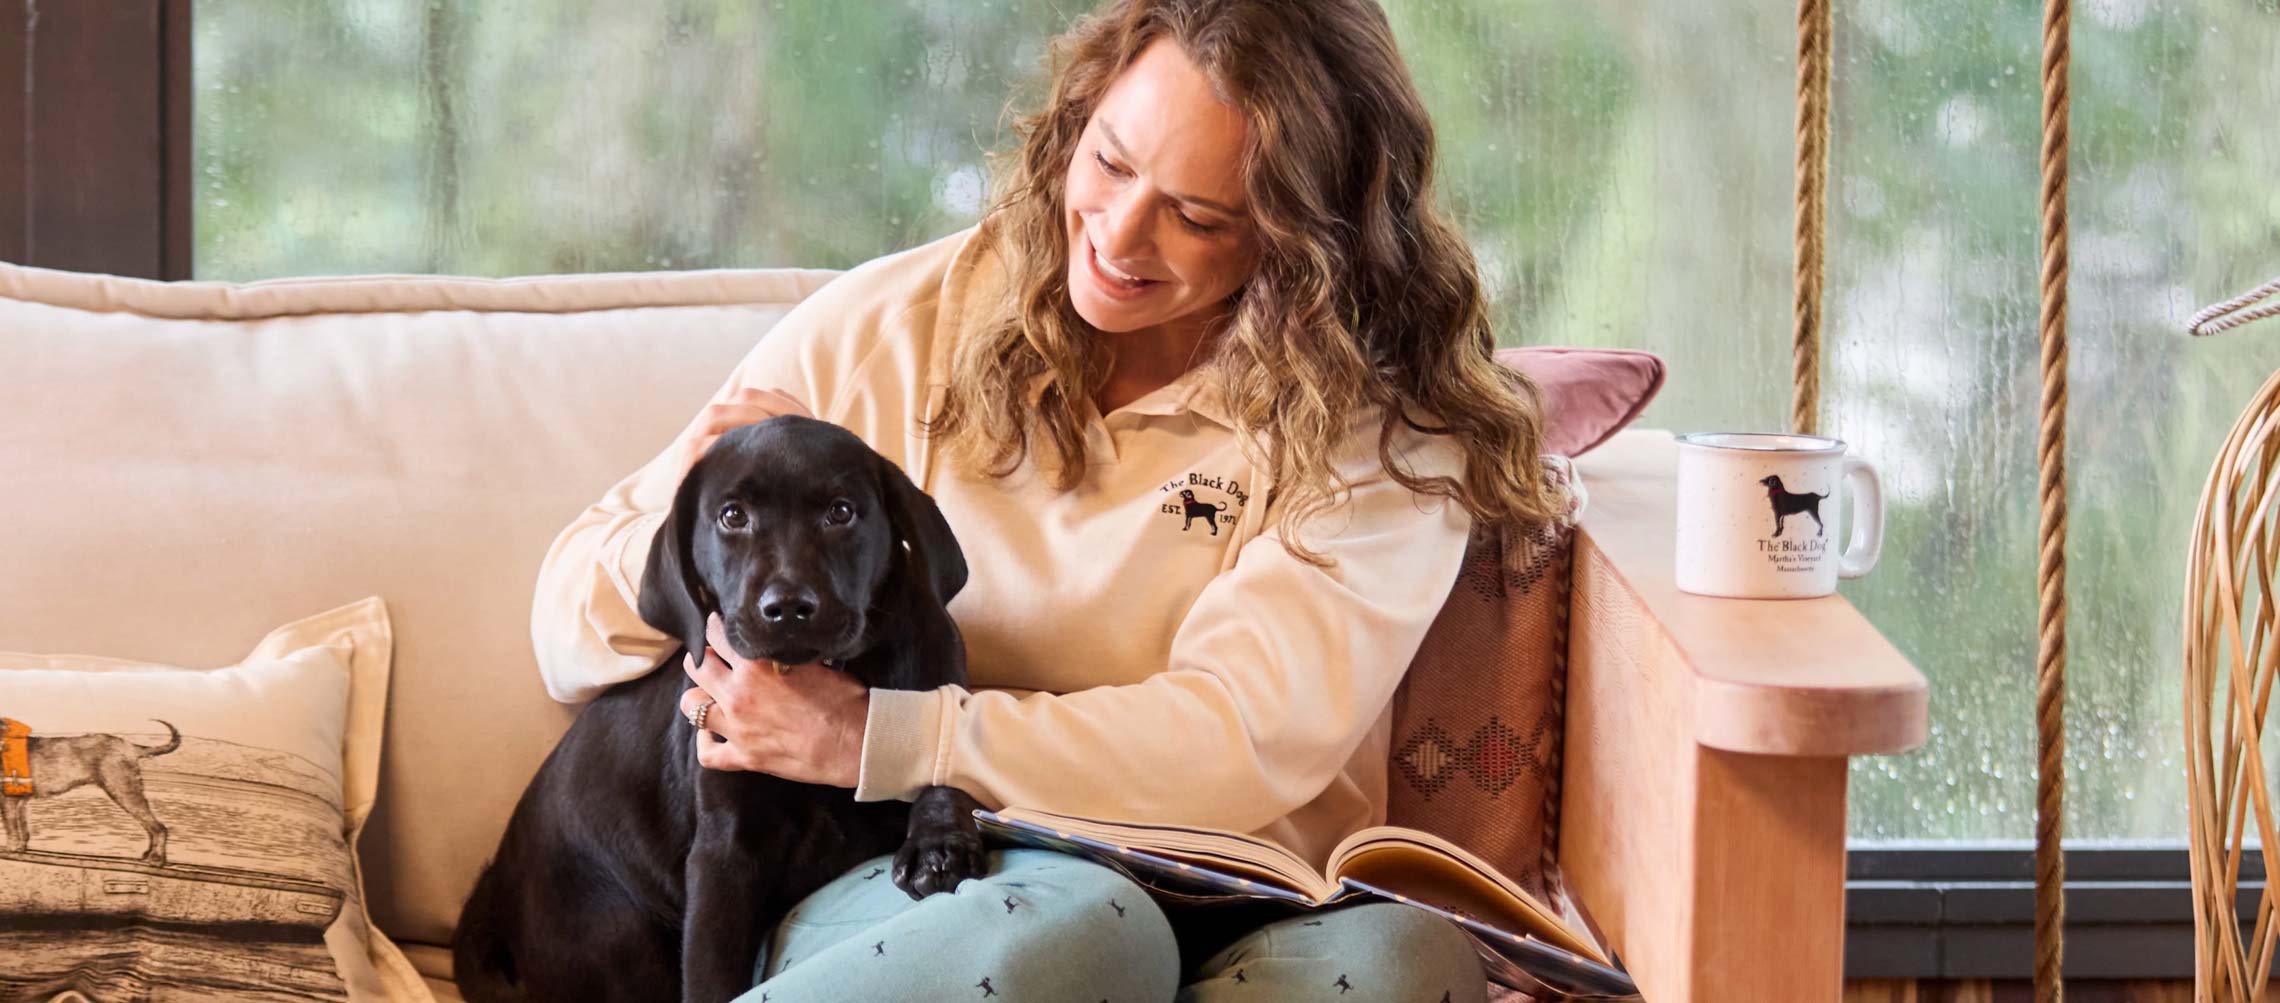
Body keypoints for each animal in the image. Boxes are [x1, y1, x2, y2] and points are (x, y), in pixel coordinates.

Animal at [456, 414, 989, 1003]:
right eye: (732, 516)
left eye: (841, 511)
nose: (786, 609)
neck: (831, 667)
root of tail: (495, 890)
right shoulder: (724, 850)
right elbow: (712, 974)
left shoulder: (939, 685)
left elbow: (946, 758)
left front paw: (937, 842)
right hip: (618, 939)